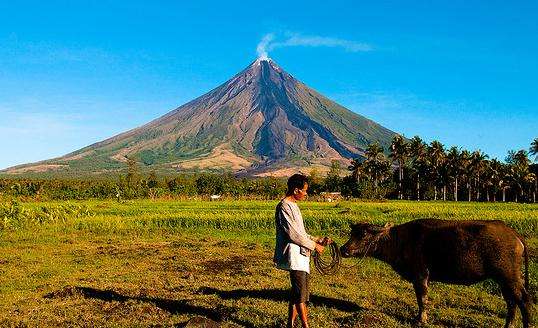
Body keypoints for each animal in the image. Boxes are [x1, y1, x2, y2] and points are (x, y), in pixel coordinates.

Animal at [340, 219, 528, 326]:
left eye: (363, 235)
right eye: (352, 233)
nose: (344, 249)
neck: (400, 240)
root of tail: (513, 233)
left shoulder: (420, 276)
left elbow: (422, 299)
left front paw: (420, 319)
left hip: (509, 277)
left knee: (523, 300)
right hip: (503, 280)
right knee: (511, 303)